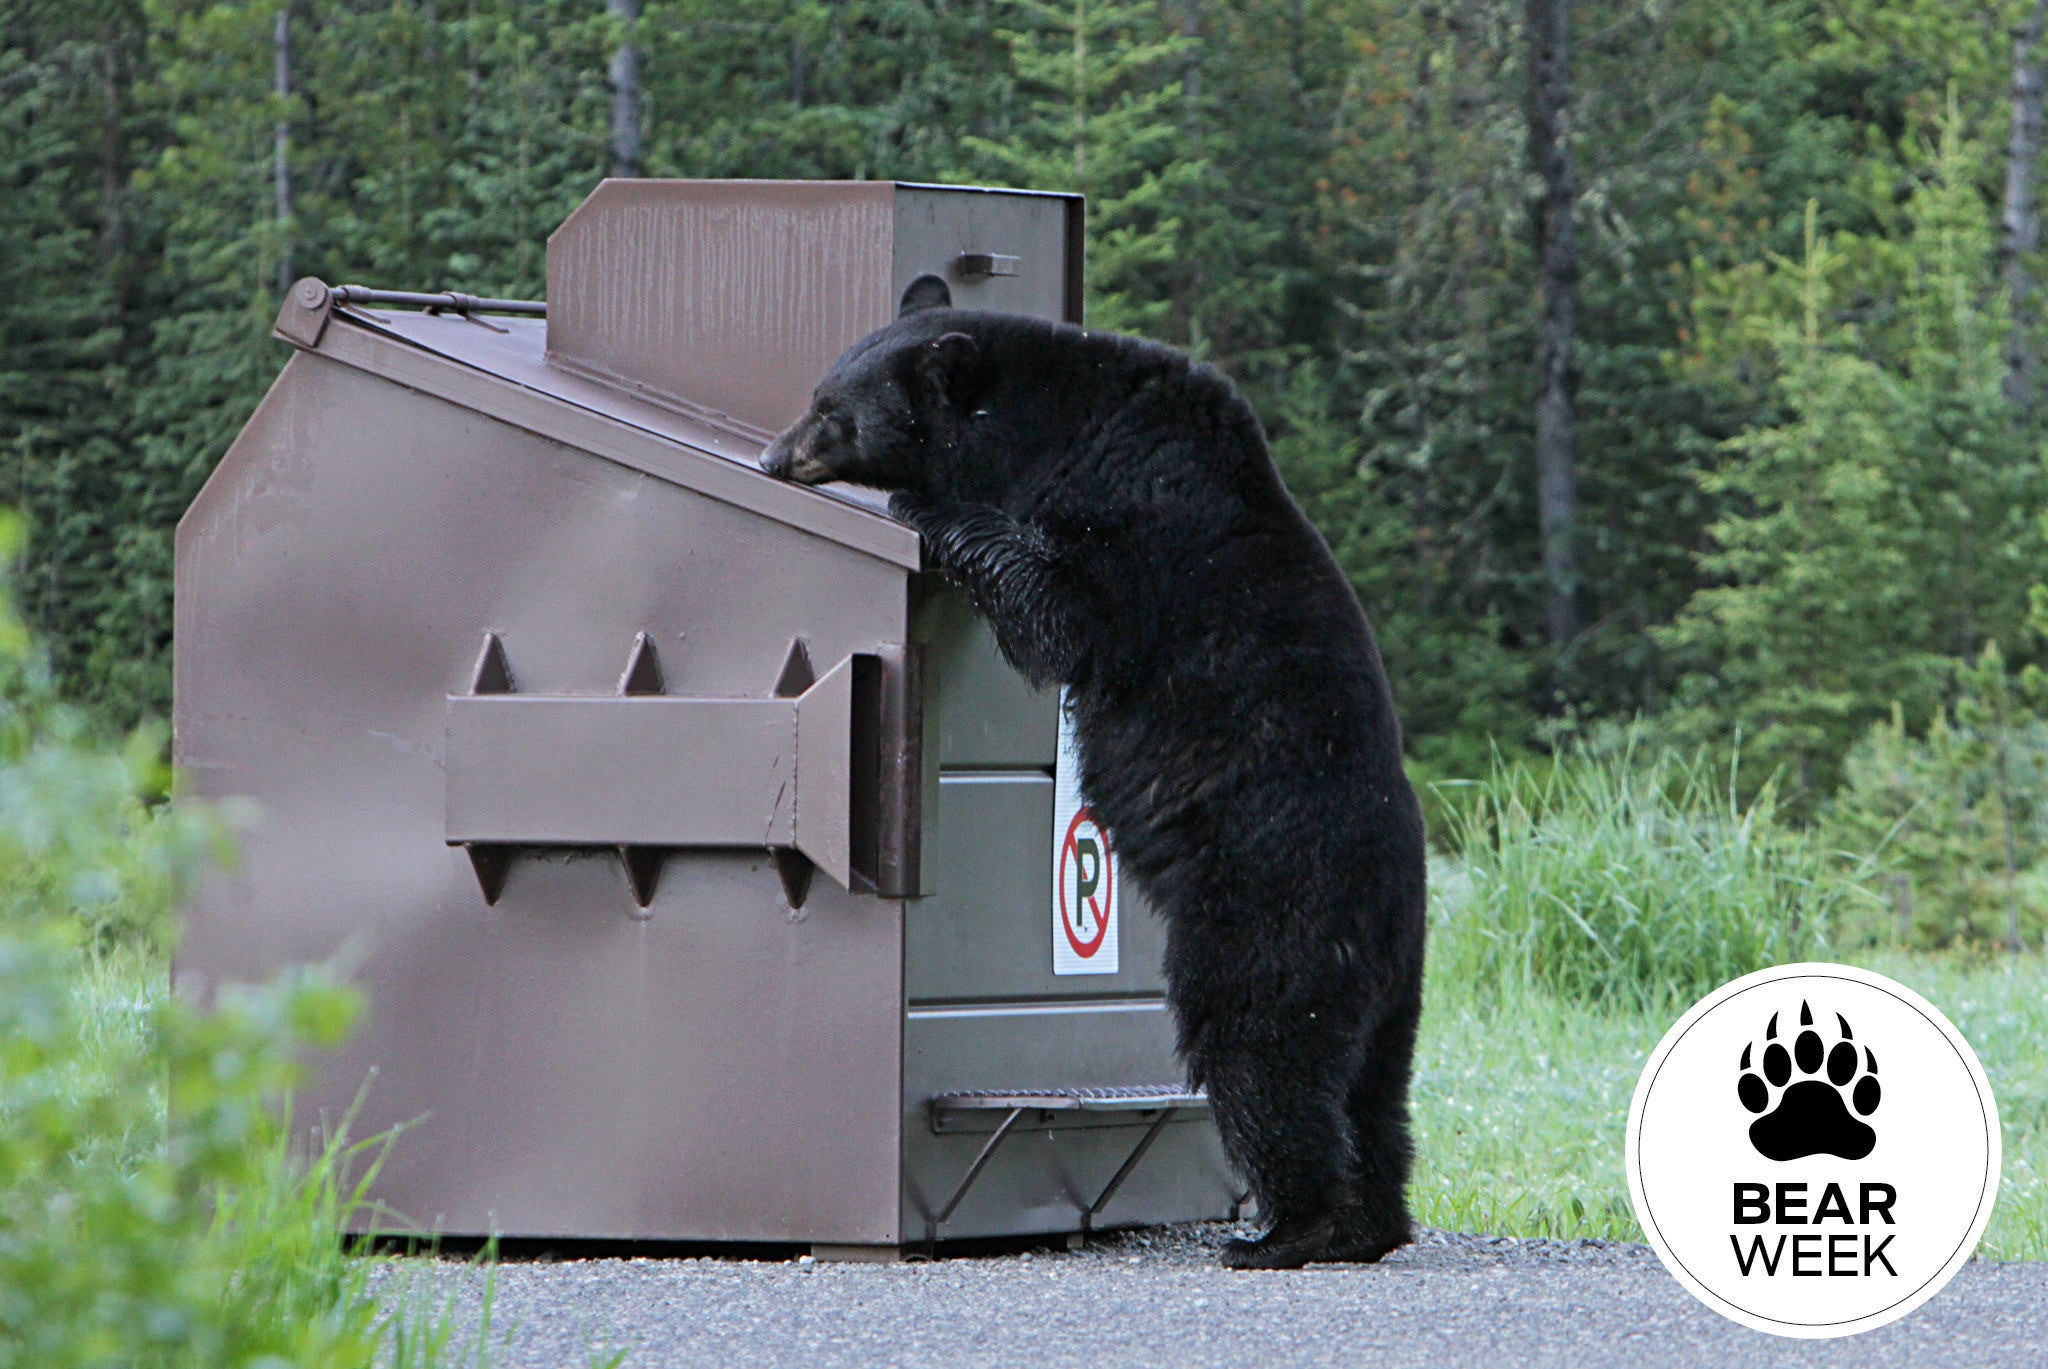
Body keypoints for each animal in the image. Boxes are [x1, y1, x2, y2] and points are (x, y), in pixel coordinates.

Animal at [761, 275, 1428, 1270]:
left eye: (834, 410)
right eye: (818, 390)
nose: (773, 456)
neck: (1058, 425)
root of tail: (1388, 910)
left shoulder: (1135, 515)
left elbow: (1061, 613)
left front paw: (928, 509)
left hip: (1270, 911)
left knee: (1261, 1049)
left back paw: (1288, 1228)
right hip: (1390, 988)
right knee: (1374, 1092)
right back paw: (1372, 1221)